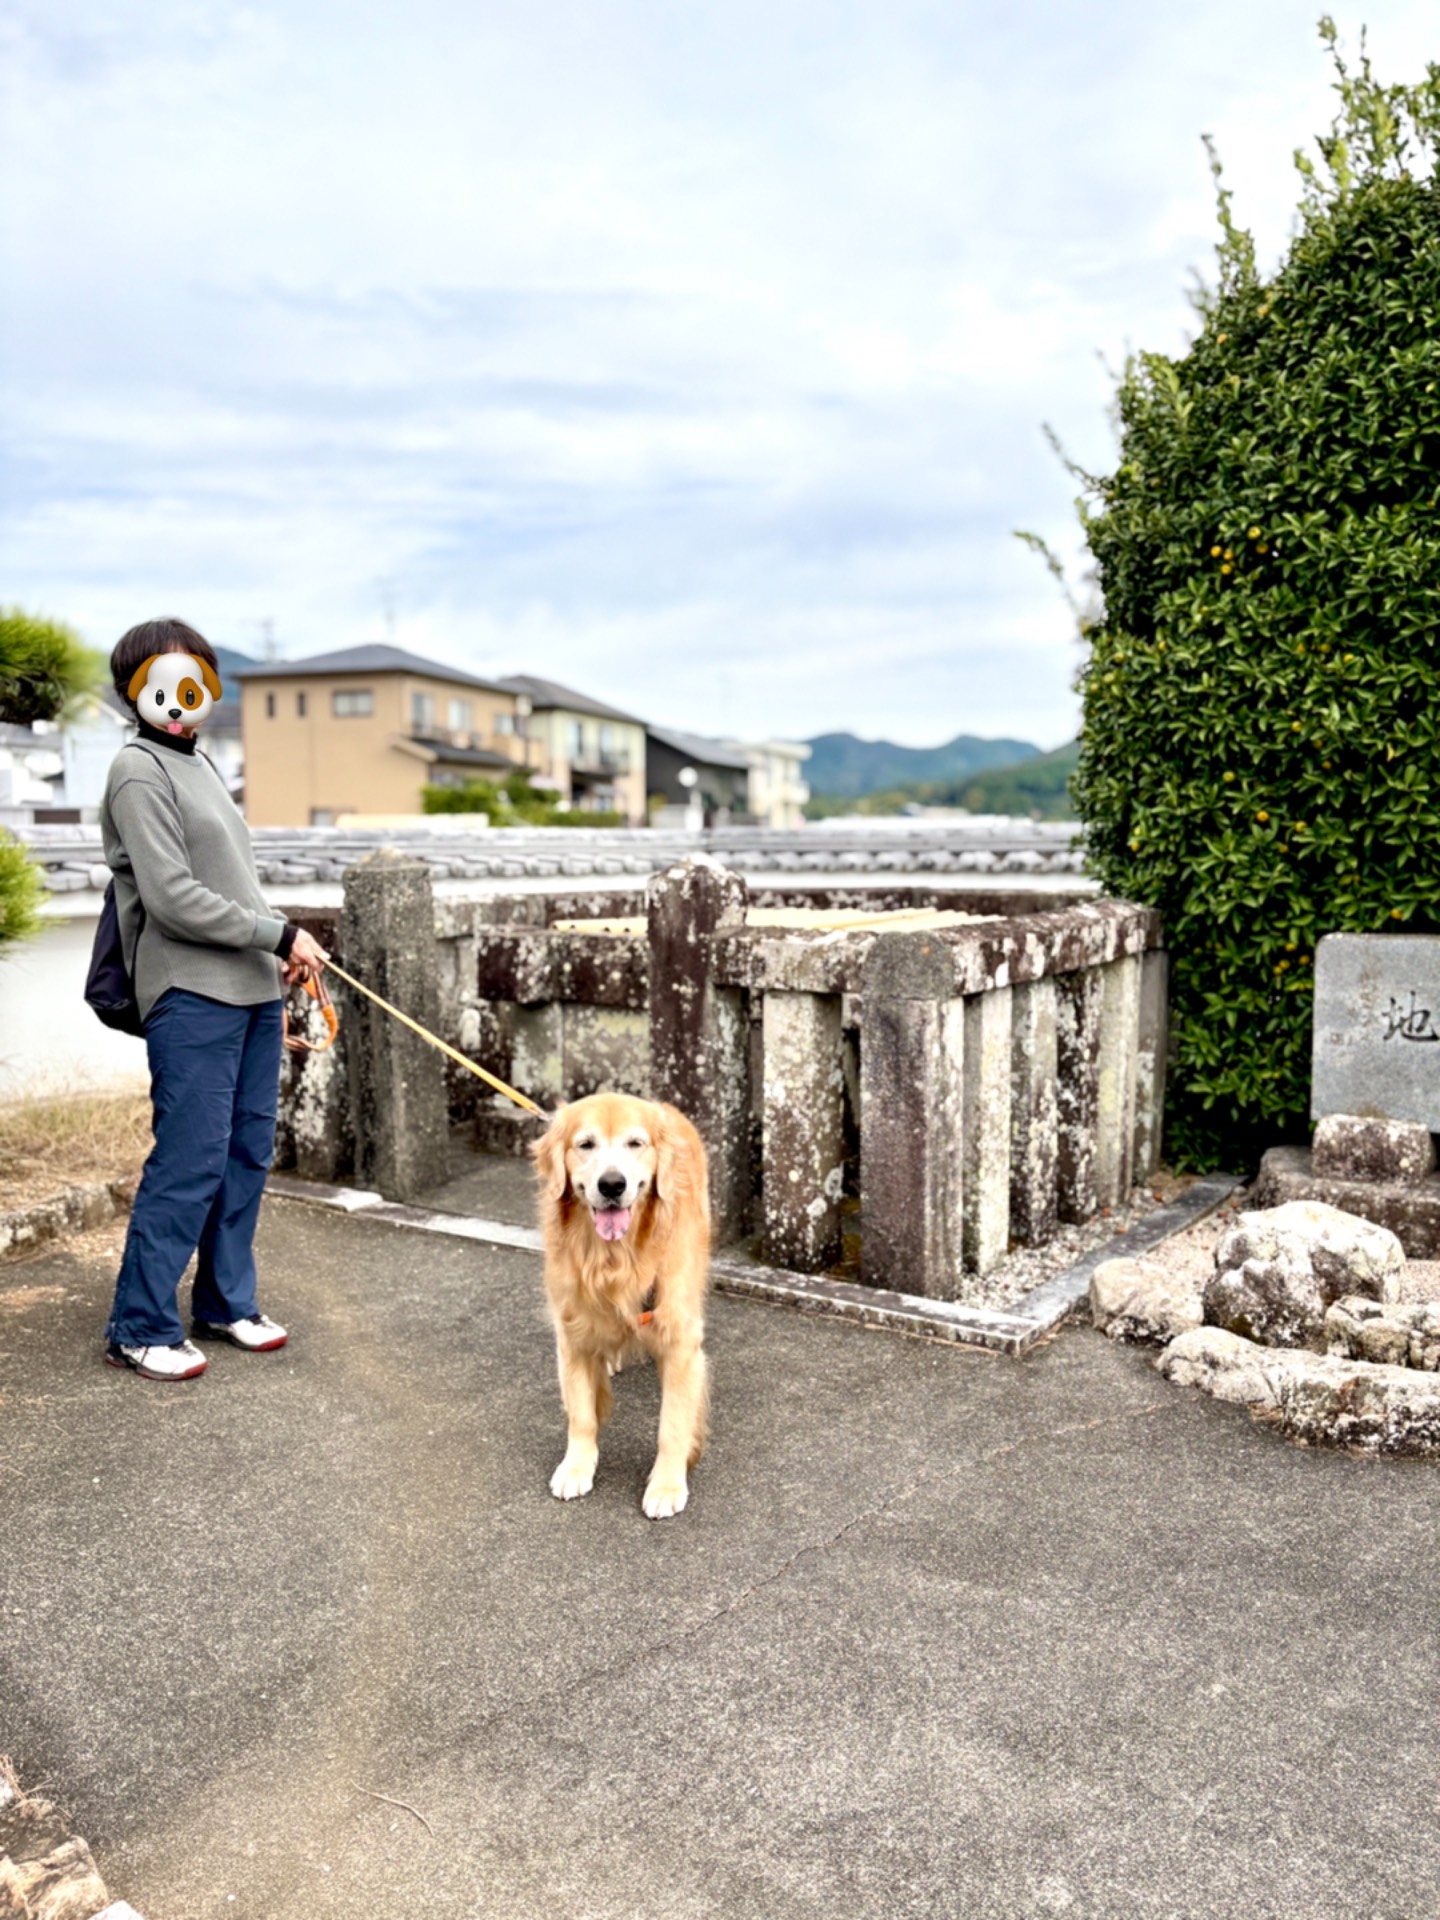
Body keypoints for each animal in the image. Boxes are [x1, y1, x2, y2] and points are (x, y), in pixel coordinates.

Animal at [532, 1092, 711, 1519]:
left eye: (635, 1143)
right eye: (585, 1144)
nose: (612, 1184)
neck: (614, 1261)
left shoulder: (681, 1339)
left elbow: (672, 1424)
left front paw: (666, 1485)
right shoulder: (572, 1334)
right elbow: (581, 1414)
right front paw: (576, 1467)